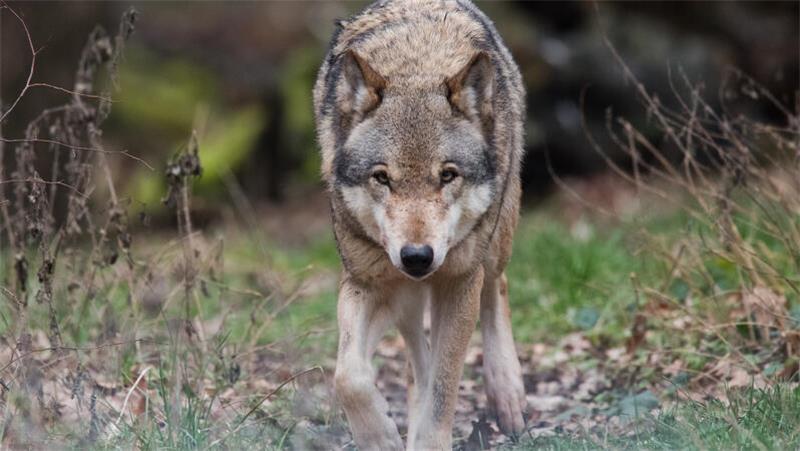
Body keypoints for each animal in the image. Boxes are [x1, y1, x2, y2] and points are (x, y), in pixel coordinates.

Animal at [314, 0, 532, 448]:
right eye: (382, 178)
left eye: (447, 175)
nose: (417, 256)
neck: (416, 65)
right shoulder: (368, 282)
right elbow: (348, 376)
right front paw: (381, 436)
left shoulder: (459, 281)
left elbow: (443, 389)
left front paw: (427, 437)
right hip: (405, 297)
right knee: (417, 360)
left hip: (493, 245)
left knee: (497, 286)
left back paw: (507, 394)